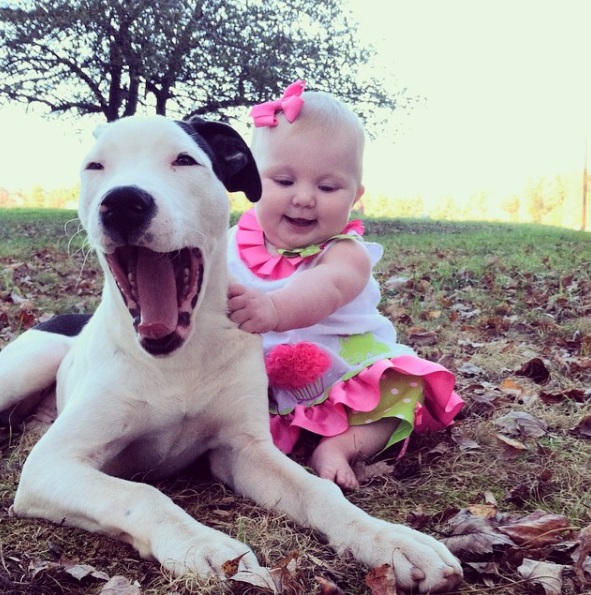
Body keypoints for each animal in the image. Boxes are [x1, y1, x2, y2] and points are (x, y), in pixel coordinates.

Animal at [0, 115, 462, 592]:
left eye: (184, 160)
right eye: (95, 166)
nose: (124, 202)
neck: (179, 358)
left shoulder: (243, 450)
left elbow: (319, 491)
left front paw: (391, 539)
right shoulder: (51, 466)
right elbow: (142, 494)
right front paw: (201, 545)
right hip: (26, 366)